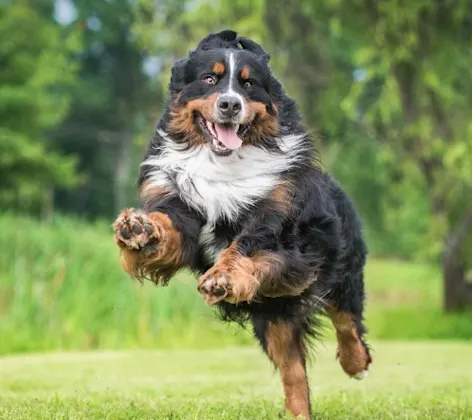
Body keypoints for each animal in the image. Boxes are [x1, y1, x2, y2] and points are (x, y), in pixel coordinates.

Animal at [113, 30, 372, 420]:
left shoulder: (284, 233)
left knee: (347, 320)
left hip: (339, 267)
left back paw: (356, 363)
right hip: (274, 319)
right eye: (209, 79)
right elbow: (169, 228)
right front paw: (140, 230)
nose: (230, 105)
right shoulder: (183, 211)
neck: (223, 162)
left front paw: (222, 278)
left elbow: (247, 247)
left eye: (249, 85)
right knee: (294, 374)